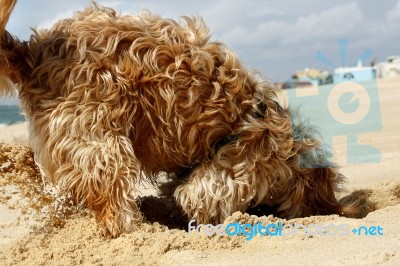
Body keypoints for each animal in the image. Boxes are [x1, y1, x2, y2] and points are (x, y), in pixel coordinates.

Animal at [0, 1, 356, 236]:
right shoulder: (227, 176)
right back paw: (134, 229)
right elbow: (194, 198)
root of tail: (32, 54)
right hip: (101, 141)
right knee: (111, 198)